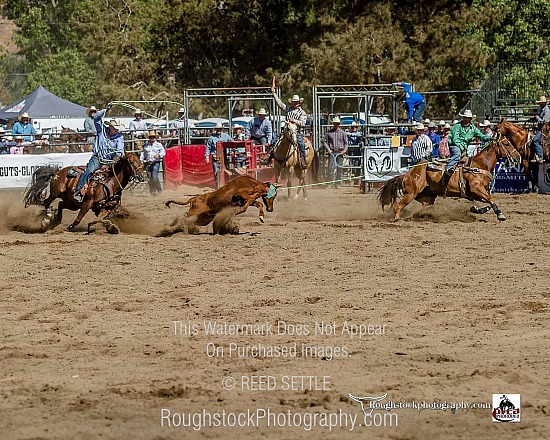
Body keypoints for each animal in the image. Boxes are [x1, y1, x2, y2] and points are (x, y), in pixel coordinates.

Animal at [380, 137, 520, 222]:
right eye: (507, 143)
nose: (518, 156)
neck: (479, 165)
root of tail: (408, 173)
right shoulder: (476, 189)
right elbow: (491, 199)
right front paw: (500, 215)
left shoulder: (475, 193)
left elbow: (488, 201)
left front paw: (476, 209)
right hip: (410, 193)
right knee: (397, 206)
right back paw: (397, 219)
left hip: (427, 197)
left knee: (423, 207)